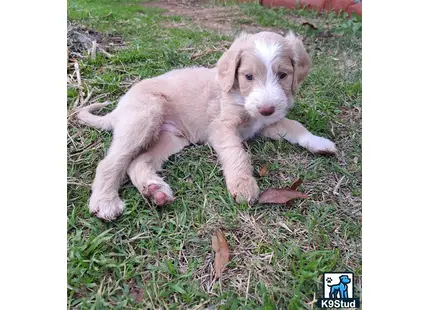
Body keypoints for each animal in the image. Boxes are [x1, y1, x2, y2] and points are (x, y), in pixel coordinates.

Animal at [79, 30, 338, 220]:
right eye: (248, 77)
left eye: (283, 75)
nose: (267, 109)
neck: (242, 99)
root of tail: (119, 107)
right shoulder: (223, 128)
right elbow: (236, 153)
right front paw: (242, 184)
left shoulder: (268, 124)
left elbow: (296, 126)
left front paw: (319, 142)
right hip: (144, 117)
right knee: (111, 162)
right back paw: (105, 202)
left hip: (169, 138)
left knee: (137, 162)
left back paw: (154, 191)